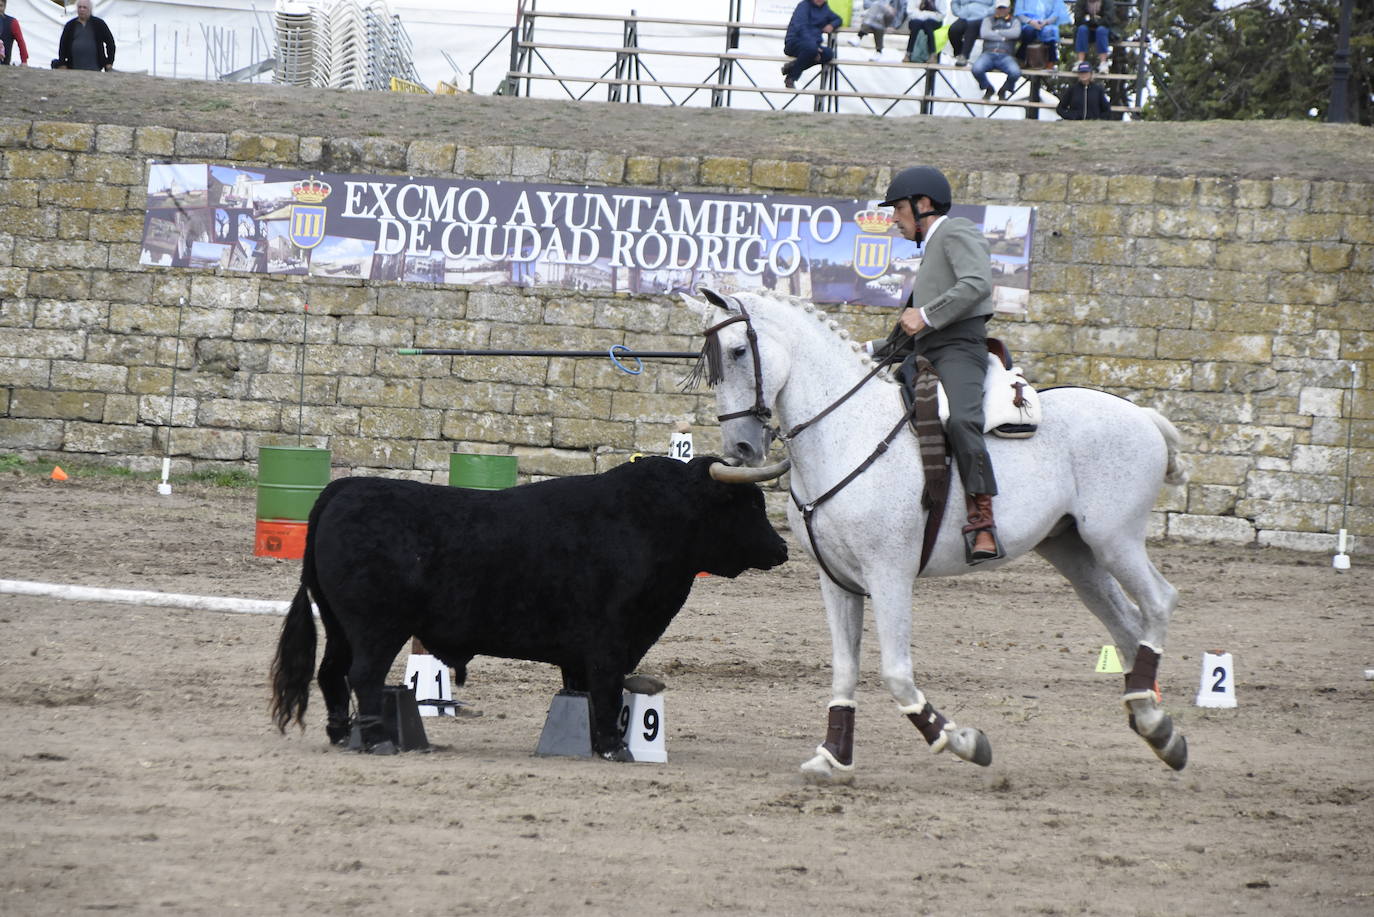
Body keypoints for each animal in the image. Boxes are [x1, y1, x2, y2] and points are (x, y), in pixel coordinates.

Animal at [270, 456, 785, 758]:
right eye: (748, 505)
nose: (782, 548)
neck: (652, 520)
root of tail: (346, 488)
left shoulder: (582, 655)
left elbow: (584, 694)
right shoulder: (610, 643)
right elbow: (606, 693)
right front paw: (614, 747)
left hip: (340, 625)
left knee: (331, 674)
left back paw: (342, 733)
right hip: (377, 629)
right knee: (363, 676)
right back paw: (377, 740)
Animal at [687, 287, 1192, 780]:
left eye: (737, 351)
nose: (740, 448)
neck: (847, 430)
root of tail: (1141, 414)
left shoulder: (889, 575)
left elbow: (895, 673)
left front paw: (962, 740)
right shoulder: (836, 580)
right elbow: (845, 668)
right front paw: (833, 757)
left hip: (1114, 540)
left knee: (1158, 602)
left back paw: (1151, 720)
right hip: (1073, 551)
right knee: (1127, 625)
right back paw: (1157, 725)